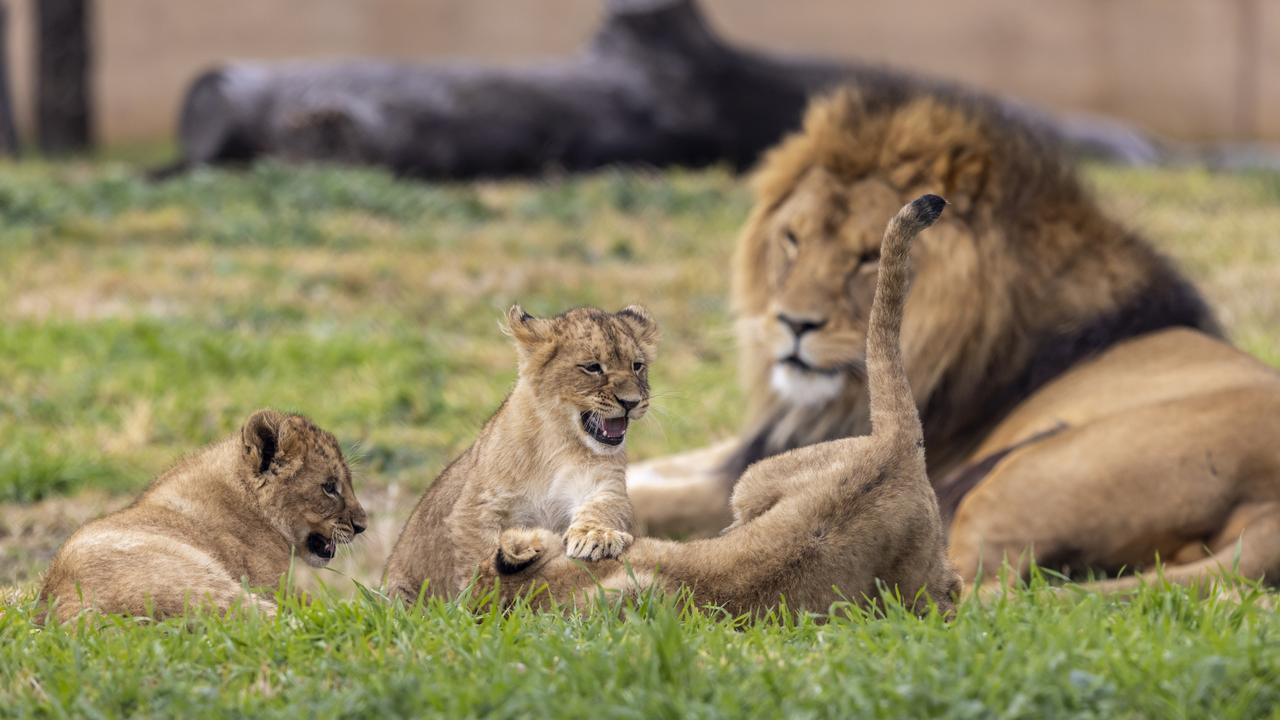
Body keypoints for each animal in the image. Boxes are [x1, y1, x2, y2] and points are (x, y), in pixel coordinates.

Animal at [629, 85, 1280, 589]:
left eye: (866, 257)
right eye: (793, 239)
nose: (792, 323)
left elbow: (658, 496)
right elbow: (652, 466)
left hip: (1013, 480)